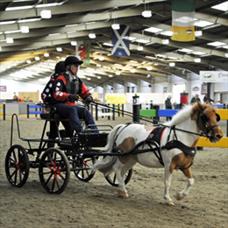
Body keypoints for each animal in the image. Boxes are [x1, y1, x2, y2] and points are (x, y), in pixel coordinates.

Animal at [92, 103, 223, 205]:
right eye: (205, 116)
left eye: (216, 116)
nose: (219, 135)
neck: (181, 137)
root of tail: (124, 126)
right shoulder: (169, 165)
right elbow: (167, 182)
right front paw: (168, 199)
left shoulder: (185, 166)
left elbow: (191, 181)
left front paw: (179, 196)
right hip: (124, 157)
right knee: (117, 169)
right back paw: (123, 191)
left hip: (132, 159)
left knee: (122, 172)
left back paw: (121, 191)